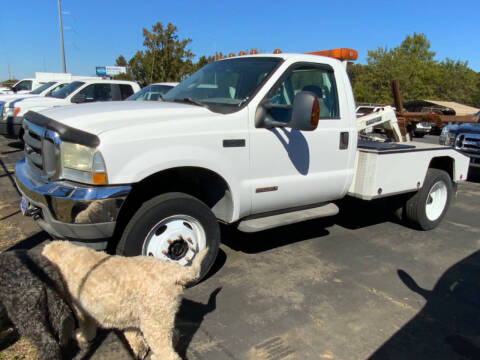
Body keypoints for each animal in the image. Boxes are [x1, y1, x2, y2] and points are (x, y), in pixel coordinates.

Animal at [44, 240, 209, 360]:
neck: (65, 254)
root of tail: (175, 271)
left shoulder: (82, 312)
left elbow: (88, 331)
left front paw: (80, 336)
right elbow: (133, 333)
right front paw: (139, 349)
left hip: (154, 324)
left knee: (169, 354)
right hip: (160, 318)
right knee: (174, 336)